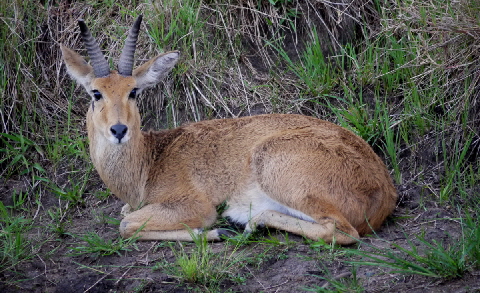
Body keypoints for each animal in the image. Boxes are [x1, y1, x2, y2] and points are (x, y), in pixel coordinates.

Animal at [60, 16, 398, 244]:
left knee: (341, 231)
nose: (119, 130)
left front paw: (212, 231)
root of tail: (385, 190)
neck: (148, 164)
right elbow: (123, 215)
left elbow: (127, 225)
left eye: (133, 91)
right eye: (95, 92)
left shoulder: (192, 204)